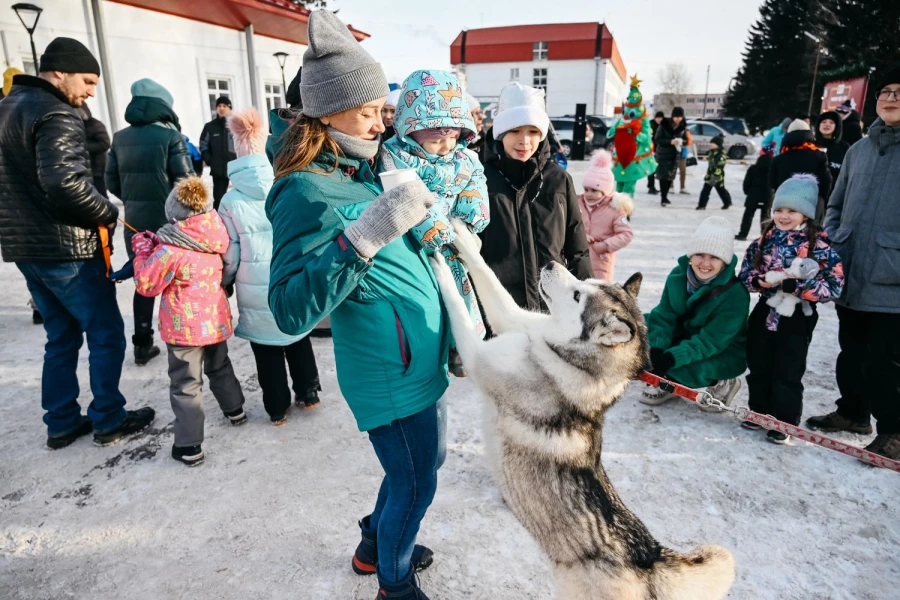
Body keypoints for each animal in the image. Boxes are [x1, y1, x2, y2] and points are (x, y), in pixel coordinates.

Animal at [432, 220, 736, 600]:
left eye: (578, 295)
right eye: (584, 282)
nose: (549, 263)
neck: (560, 357)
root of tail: (649, 557)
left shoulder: (478, 357)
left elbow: (456, 305)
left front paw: (437, 265)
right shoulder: (516, 319)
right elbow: (488, 278)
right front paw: (461, 236)